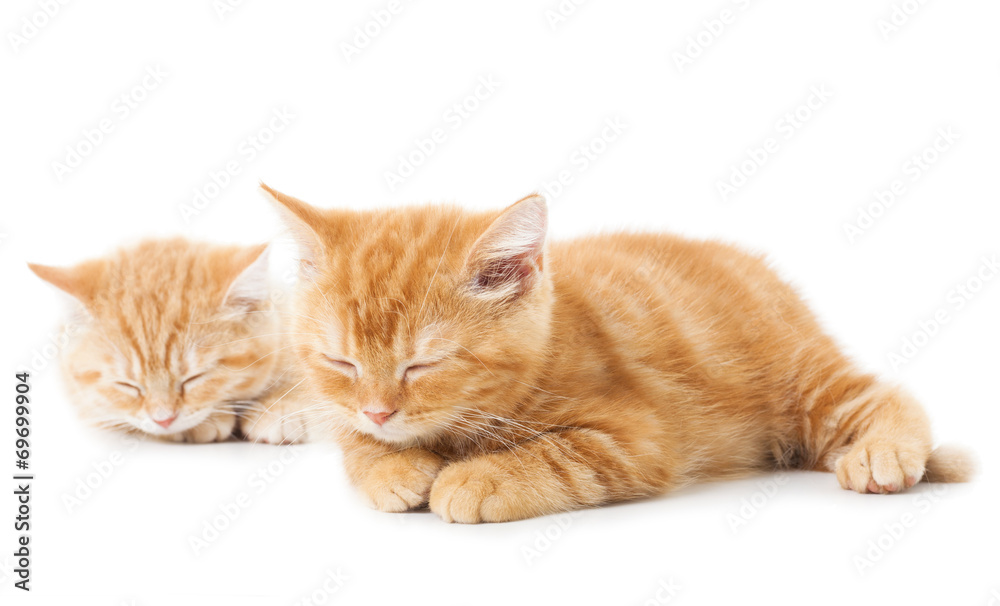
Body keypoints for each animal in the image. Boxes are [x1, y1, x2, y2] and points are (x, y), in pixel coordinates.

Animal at [262, 184, 972, 524]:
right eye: (341, 363)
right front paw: (389, 466)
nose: (380, 412)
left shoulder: (638, 437)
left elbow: (559, 455)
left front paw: (477, 478)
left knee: (882, 394)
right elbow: (351, 442)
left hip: (803, 384)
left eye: (423, 365)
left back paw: (883, 455)